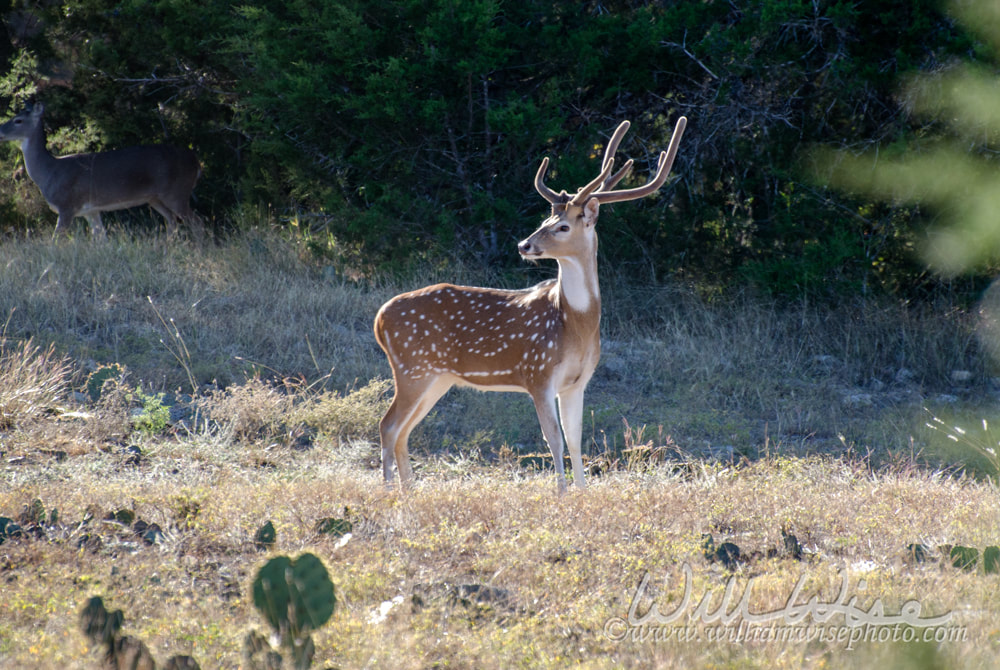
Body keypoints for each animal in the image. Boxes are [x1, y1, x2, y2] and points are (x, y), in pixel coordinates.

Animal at [0, 102, 203, 239]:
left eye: (18, 120)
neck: (49, 172)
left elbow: (55, 240)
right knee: (172, 221)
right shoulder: (91, 210)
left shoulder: (67, 206)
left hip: (177, 191)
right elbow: (101, 239)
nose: (0, 130)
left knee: (196, 223)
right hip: (155, 198)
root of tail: (196, 161)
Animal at [376, 115, 688, 494]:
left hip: (437, 377)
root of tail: (379, 318)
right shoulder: (538, 372)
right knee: (388, 424)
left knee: (404, 430)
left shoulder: (577, 382)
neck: (574, 324)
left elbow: (575, 439)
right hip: (412, 367)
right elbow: (553, 439)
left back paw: (411, 491)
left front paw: (583, 492)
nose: (524, 244)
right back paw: (389, 492)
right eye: (545, 221)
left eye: (562, 226)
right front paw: (562, 493)